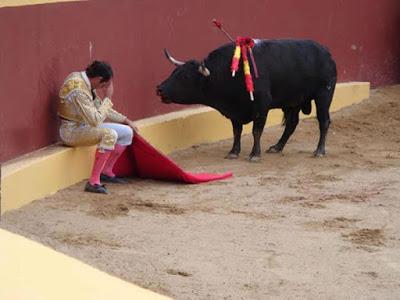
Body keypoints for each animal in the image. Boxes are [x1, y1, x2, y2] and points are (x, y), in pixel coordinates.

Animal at [157, 40, 338, 163]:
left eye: (185, 77)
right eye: (174, 72)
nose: (159, 89)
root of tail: (327, 53)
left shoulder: (262, 106)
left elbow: (256, 131)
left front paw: (254, 154)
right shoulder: (234, 110)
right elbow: (236, 131)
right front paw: (233, 152)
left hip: (324, 95)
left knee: (323, 121)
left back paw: (319, 151)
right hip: (292, 102)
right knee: (291, 124)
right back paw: (277, 147)